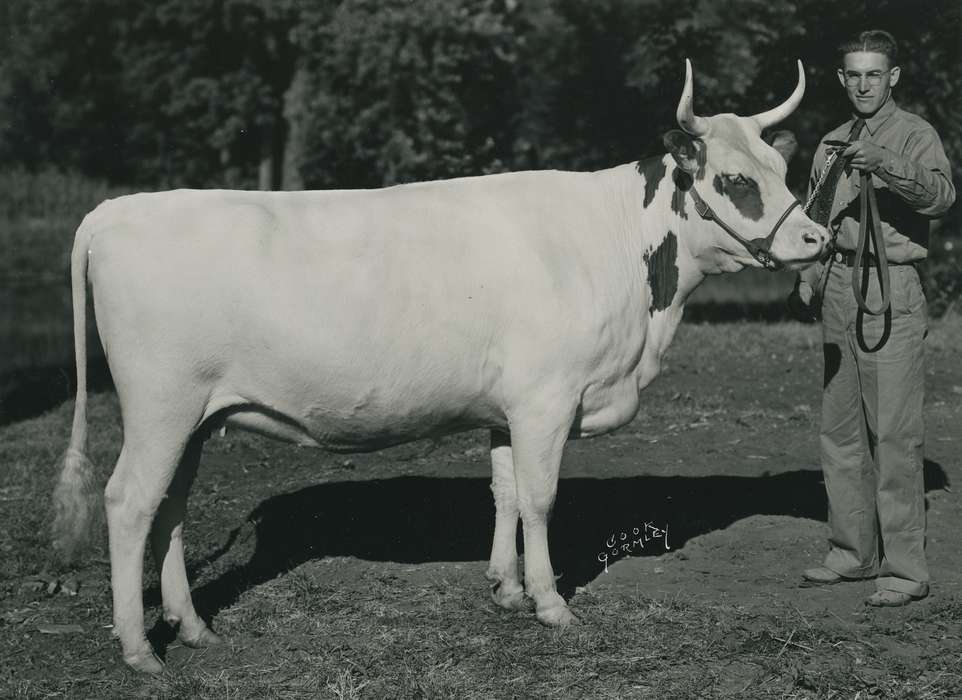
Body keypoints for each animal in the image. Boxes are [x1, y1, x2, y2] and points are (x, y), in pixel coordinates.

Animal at [53, 60, 826, 673]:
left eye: (783, 170)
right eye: (735, 180)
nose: (816, 238)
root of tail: (118, 210)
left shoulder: (509, 409)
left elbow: (506, 493)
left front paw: (506, 589)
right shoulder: (547, 399)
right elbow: (541, 499)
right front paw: (550, 603)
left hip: (192, 416)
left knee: (170, 507)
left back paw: (192, 628)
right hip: (159, 406)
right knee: (129, 503)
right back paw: (138, 649)